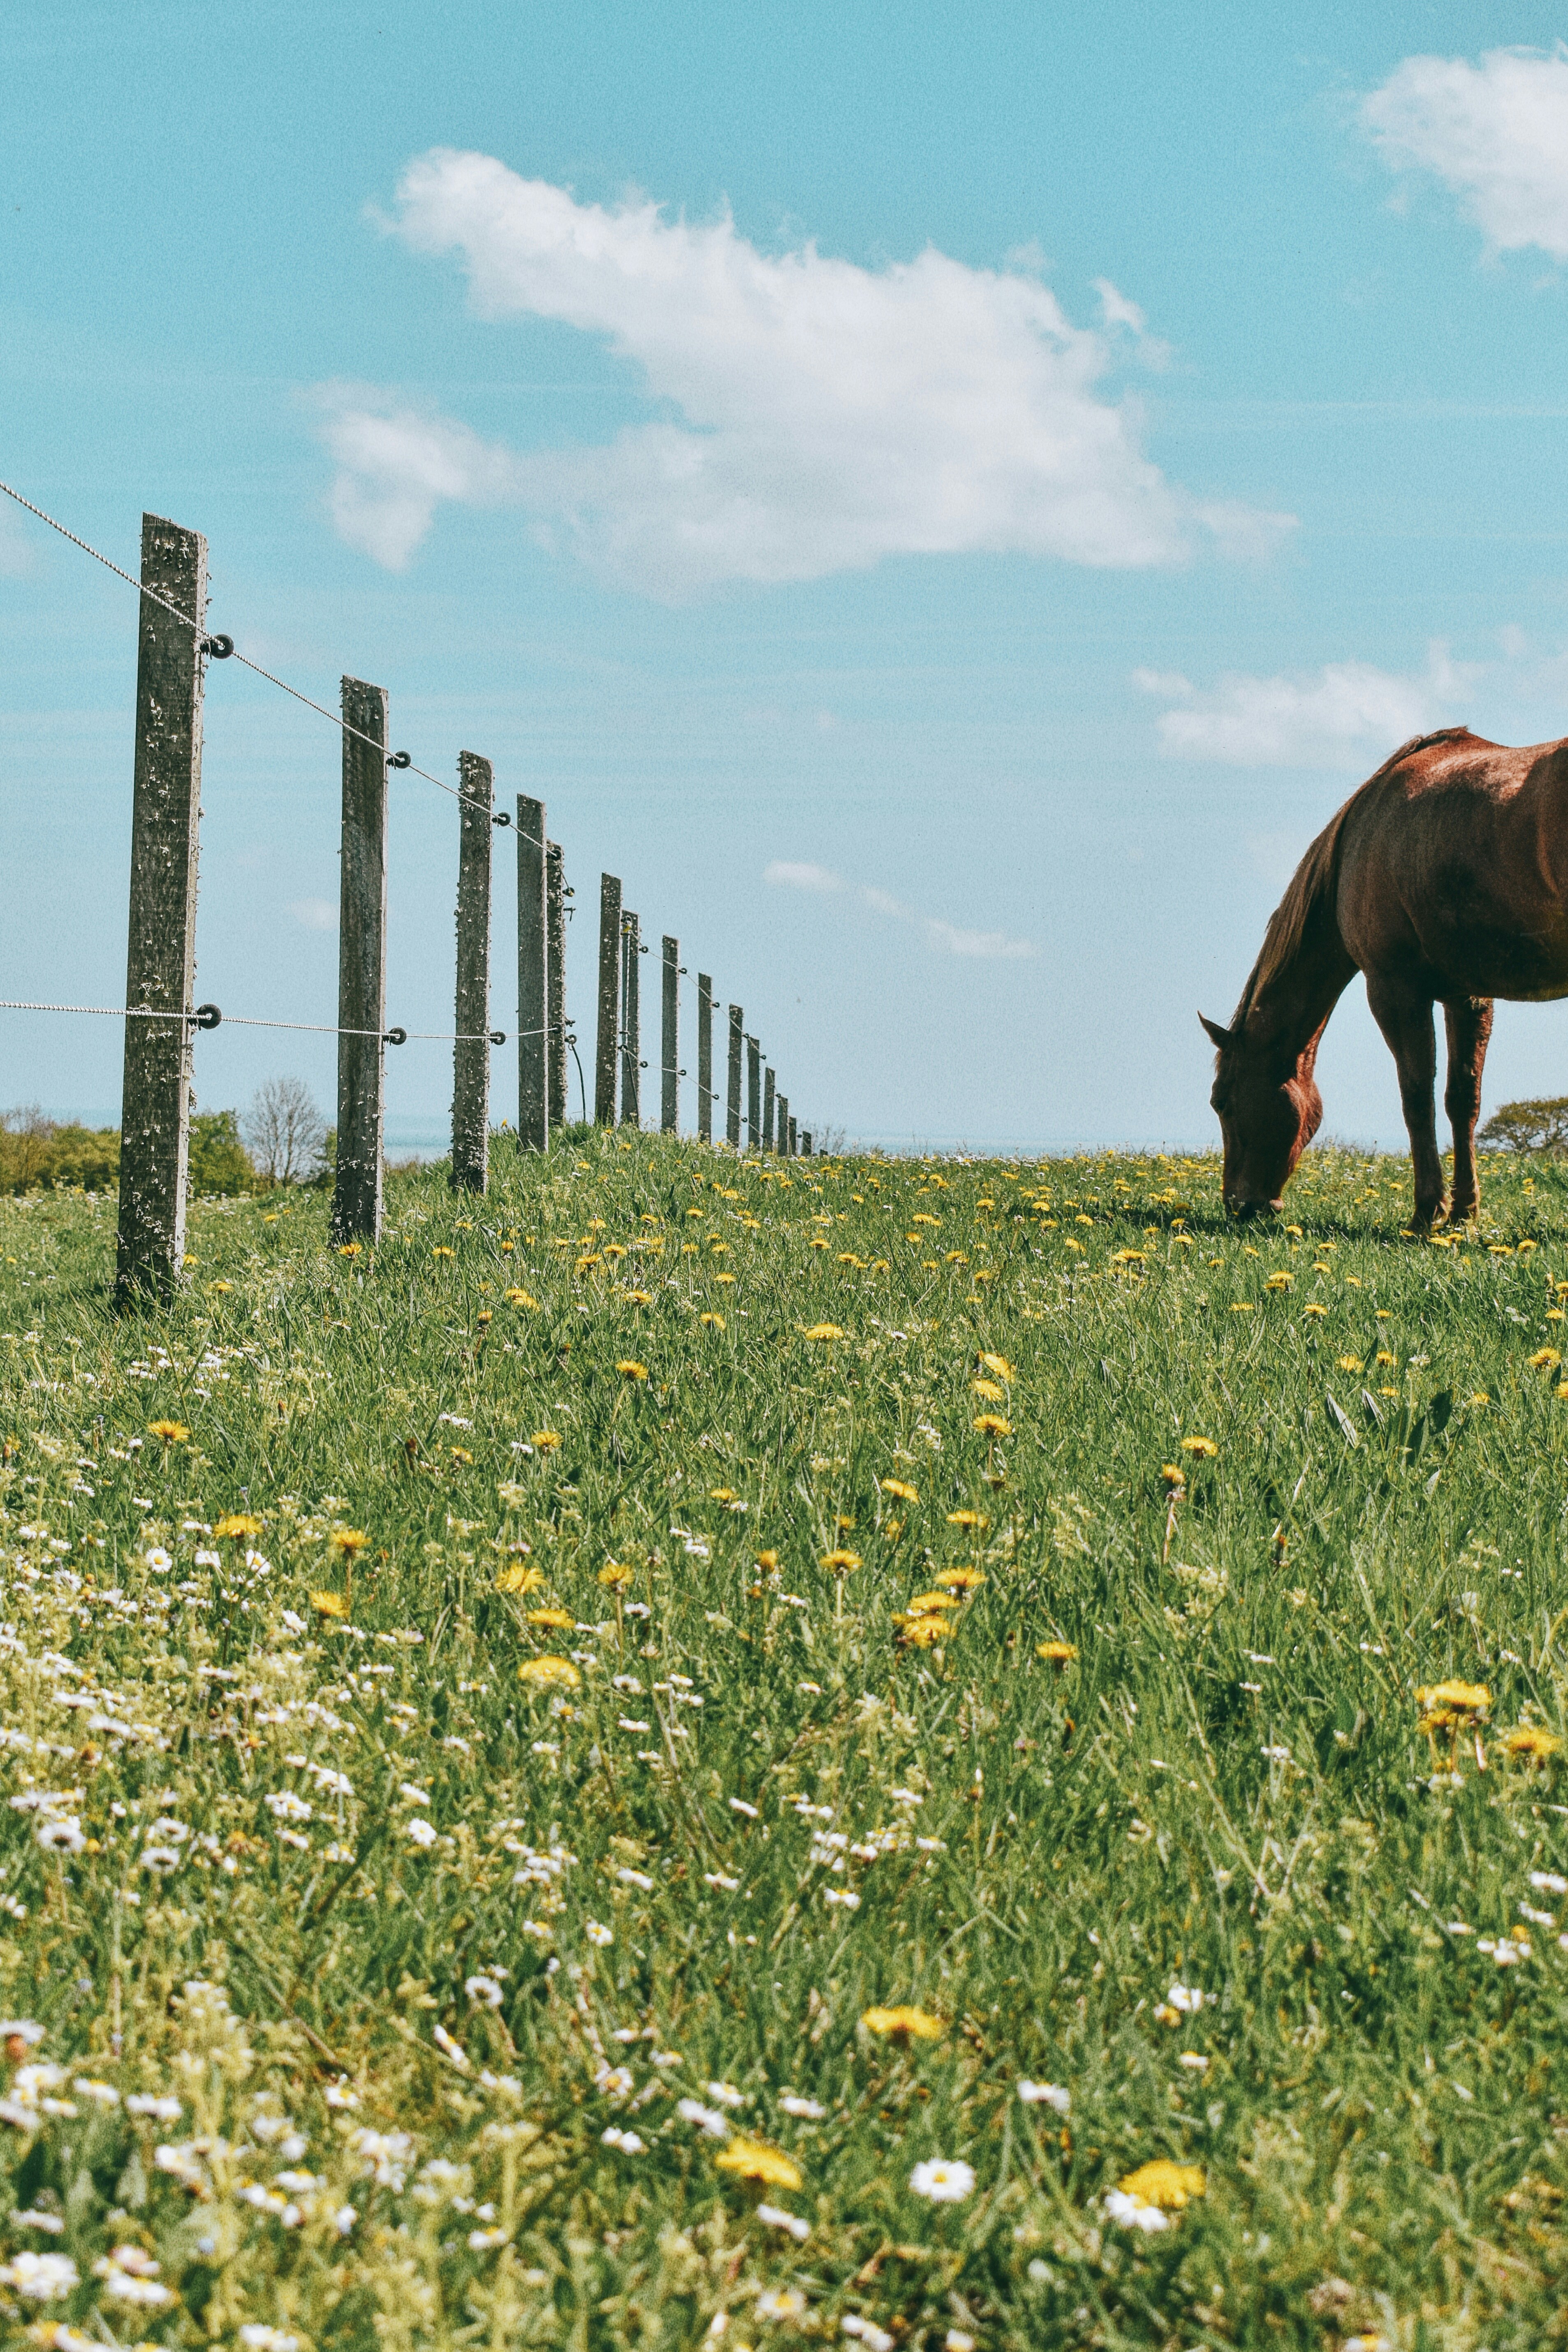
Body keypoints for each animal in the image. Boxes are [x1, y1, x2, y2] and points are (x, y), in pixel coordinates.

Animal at [1201, 724, 1568, 1226]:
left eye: (1221, 1101)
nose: (1239, 1205)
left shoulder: (1394, 990)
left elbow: (1417, 1098)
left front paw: (1426, 1214)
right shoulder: (1467, 996)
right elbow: (1462, 1100)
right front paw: (1463, 1213)